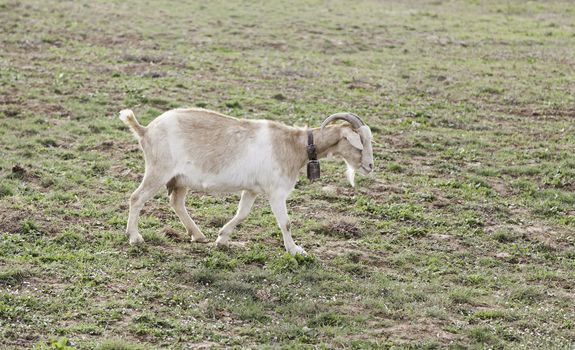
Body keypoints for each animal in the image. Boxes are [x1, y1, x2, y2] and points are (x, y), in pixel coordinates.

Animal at [119, 108, 376, 256]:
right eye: (359, 142)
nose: (370, 166)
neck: (294, 145)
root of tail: (146, 130)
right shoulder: (276, 192)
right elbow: (286, 223)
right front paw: (296, 250)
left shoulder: (251, 190)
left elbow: (242, 214)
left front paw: (222, 239)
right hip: (159, 170)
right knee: (136, 198)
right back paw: (135, 237)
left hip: (180, 179)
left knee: (176, 202)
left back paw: (198, 235)